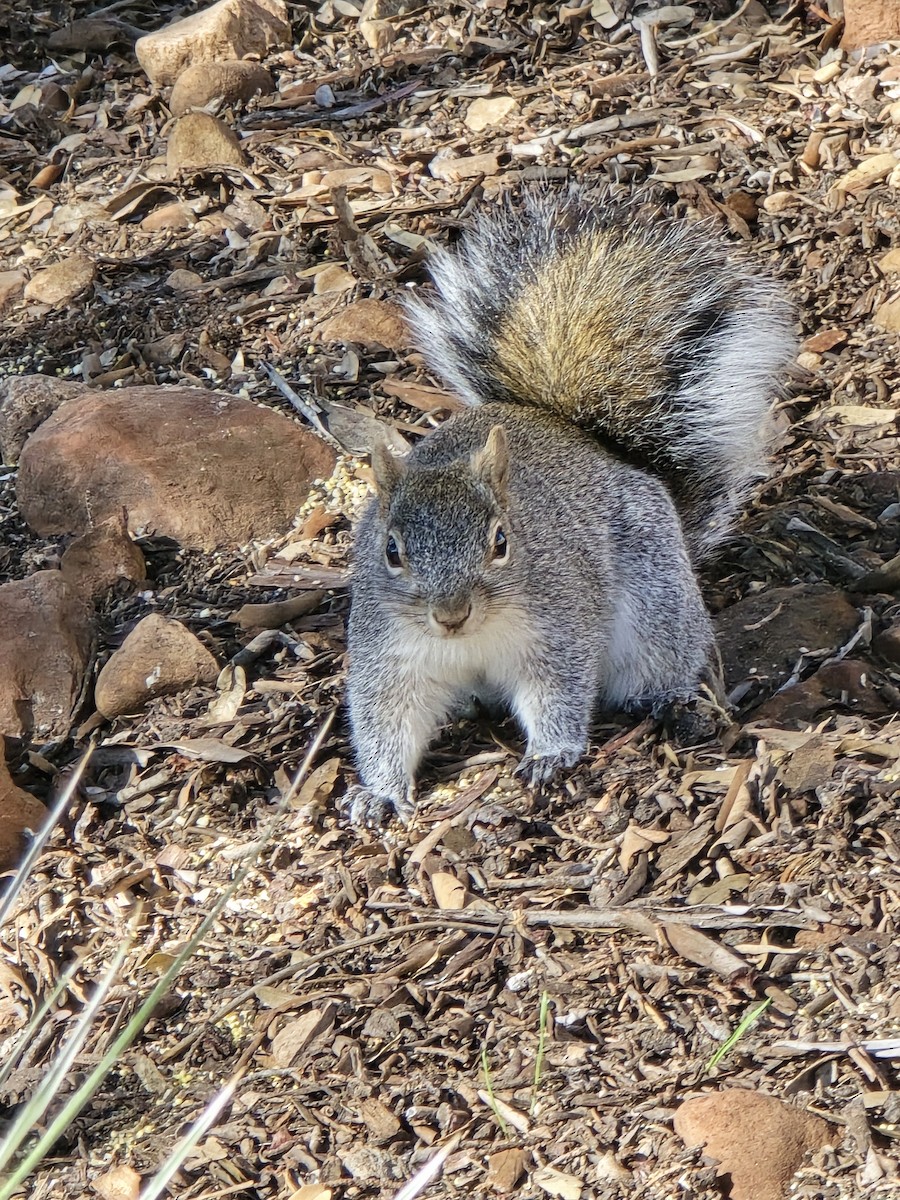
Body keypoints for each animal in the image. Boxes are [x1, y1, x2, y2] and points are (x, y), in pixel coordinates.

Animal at [344, 189, 794, 826]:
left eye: (501, 541)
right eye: (391, 551)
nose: (451, 615)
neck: (471, 640)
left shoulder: (558, 627)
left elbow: (558, 691)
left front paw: (549, 756)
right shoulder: (389, 652)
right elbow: (386, 720)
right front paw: (380, 792)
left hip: (654, 604)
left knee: (664, 658)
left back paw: (668, 702)